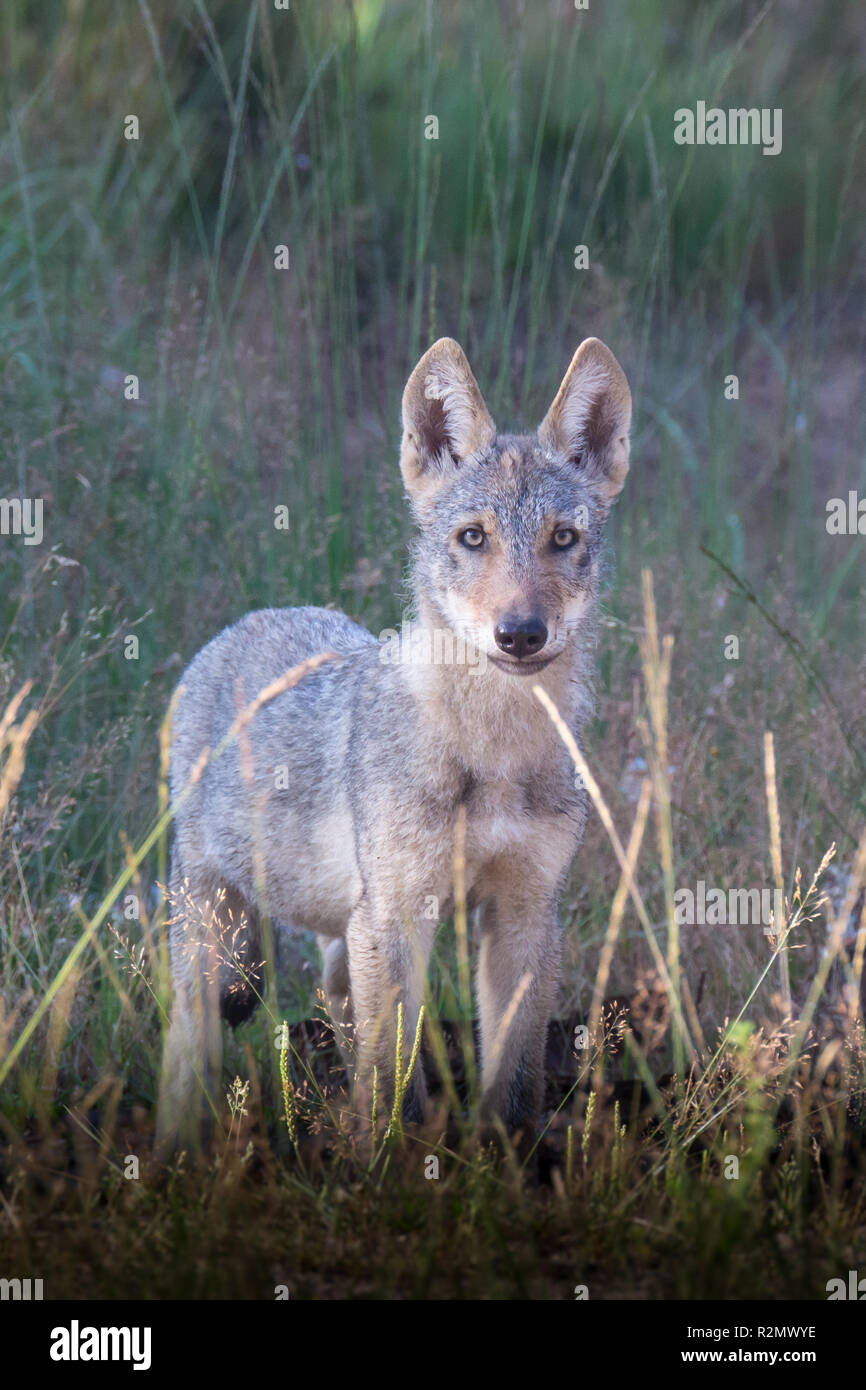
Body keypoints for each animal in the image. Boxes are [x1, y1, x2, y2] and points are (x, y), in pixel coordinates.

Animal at [155, 336, 632, 1152]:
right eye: (473, 537)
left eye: (562, 539)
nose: (520, 633)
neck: (491, 753)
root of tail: (248, 622)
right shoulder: (401, 915)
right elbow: (390, 1096)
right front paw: (392, 1169)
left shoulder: (524, 915)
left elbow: (512, 1088)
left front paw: (503, 1165)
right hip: (220, 946)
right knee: (188, 1054)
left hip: (346, 938)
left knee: (337, 1010)